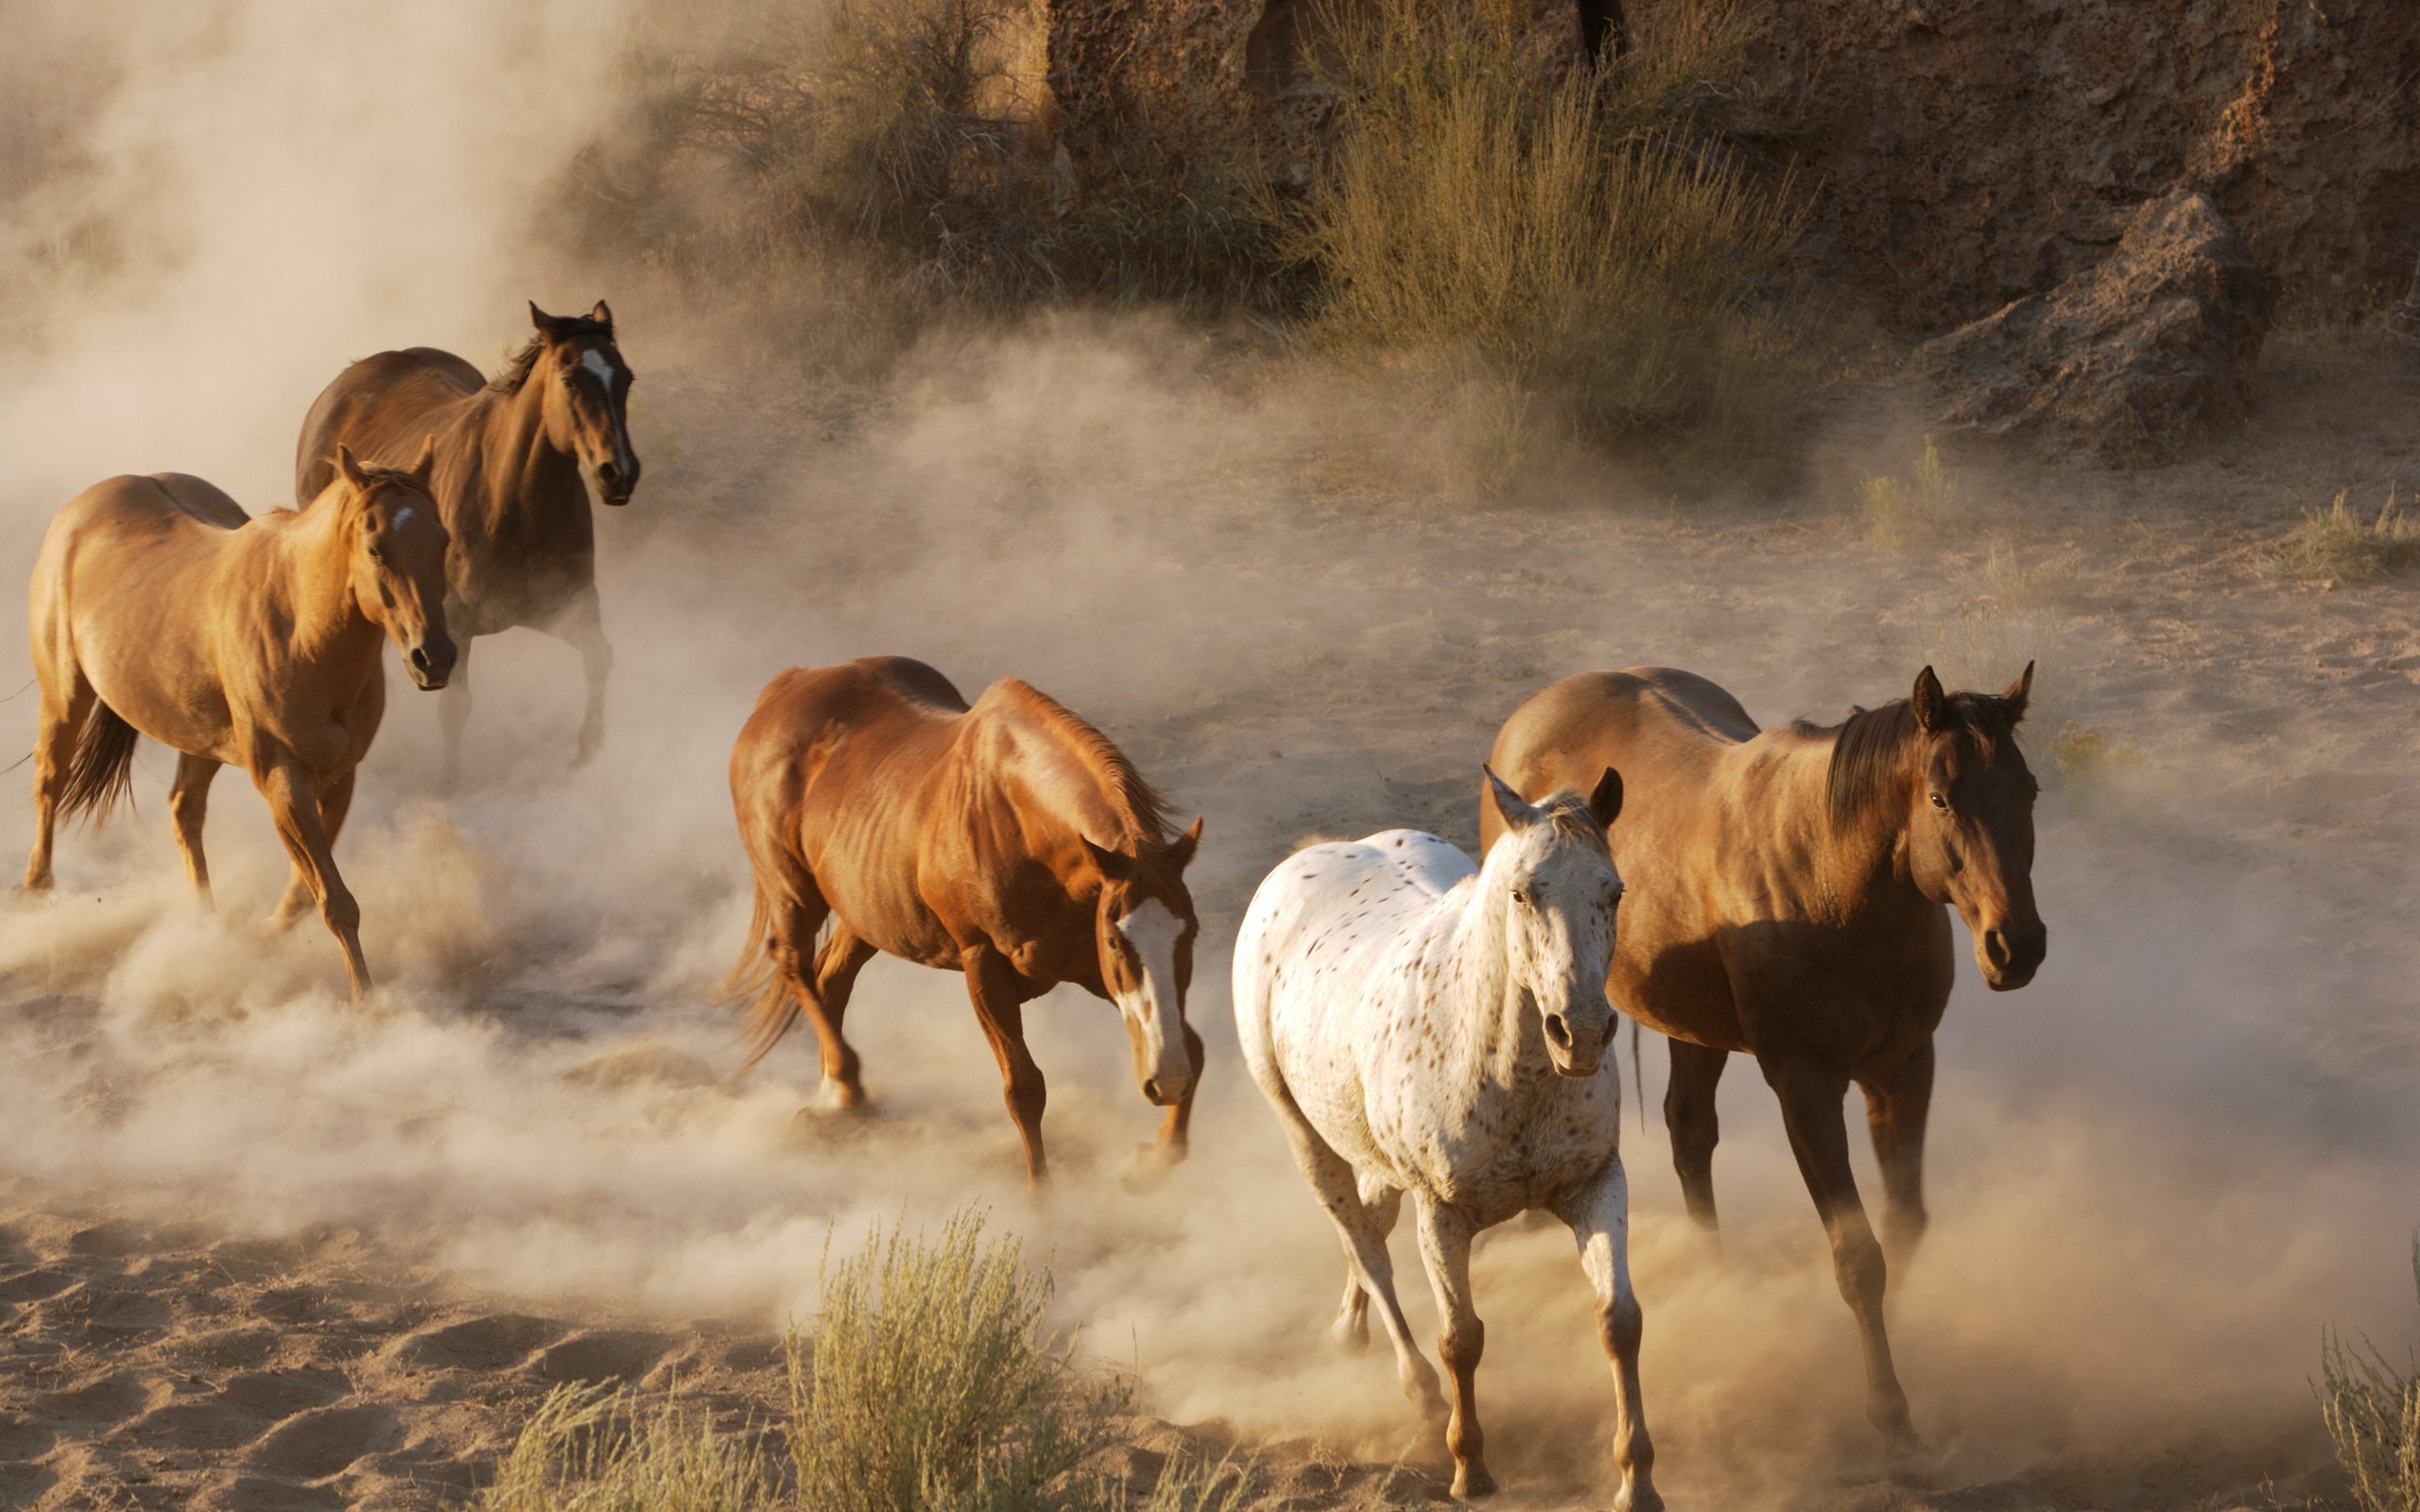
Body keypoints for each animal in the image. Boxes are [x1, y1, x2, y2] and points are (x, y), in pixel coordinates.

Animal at [21, 442, 455, 996]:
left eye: (442, 541)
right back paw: (38, 893)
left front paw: (263, 936)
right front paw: (367, 1002)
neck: (301, 629)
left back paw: (206, 926)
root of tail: (82, 507)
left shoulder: (339, 778)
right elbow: (336, 902)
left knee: (184, 810)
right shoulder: (282, 778)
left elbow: (307, 897)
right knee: (50, 781)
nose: (434, 659)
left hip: (198, 737)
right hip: (64, 695)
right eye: (376, 548)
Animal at [294, 299, 643, 783]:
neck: (512, 501)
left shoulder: (570, 607)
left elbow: (599, 657)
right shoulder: (451, 625)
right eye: (570, 380)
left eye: (625, 377)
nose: (619, 473)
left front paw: (587, 754)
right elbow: (455, 708)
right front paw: (450, 783)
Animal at [716, 653, 1210, 1185]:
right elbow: (1024, 1089)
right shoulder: (985, 967)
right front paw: (1043, 1199)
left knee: (831, 979)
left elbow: (1194, 1046)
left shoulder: (1088, 969)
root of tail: (787, 686)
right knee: (793, 964)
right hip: (793, 891)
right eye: (1117, 941)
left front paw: (1152, 1160)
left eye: (1191, 934)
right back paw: (845, 1088)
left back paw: (835, 1101)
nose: (1166, 1079)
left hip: (863, 912)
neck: (1020, 823)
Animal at [1238, 774, 1655, 1500]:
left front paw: (1637, 1480)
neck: (1505, 1069)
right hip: (1305, 1137)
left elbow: (1618, 1321)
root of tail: (1309, 856)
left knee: (1370, 1225)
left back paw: (1348, 1328)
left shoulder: (1595, 1184)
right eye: (1522, 893)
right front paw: (1471, 1469)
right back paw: (1421, 1394)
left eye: (1614, 892)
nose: (1580, 1033)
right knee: (1366, 1247)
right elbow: (1461, 1338)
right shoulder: (1442, 1214)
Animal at [1480, 658, 2051, 1452]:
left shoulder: (1904, 1069)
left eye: (2028, 791)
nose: (2016, 946)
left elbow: (1904, 1225)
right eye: (1941, 797)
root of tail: (1532, 715)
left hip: (1694, 1029)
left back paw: (1717, 1277)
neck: (1835, 883)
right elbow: (1857, 1255)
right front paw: (1888, 1410)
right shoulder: (1805, 1087)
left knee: (1690, 1133)